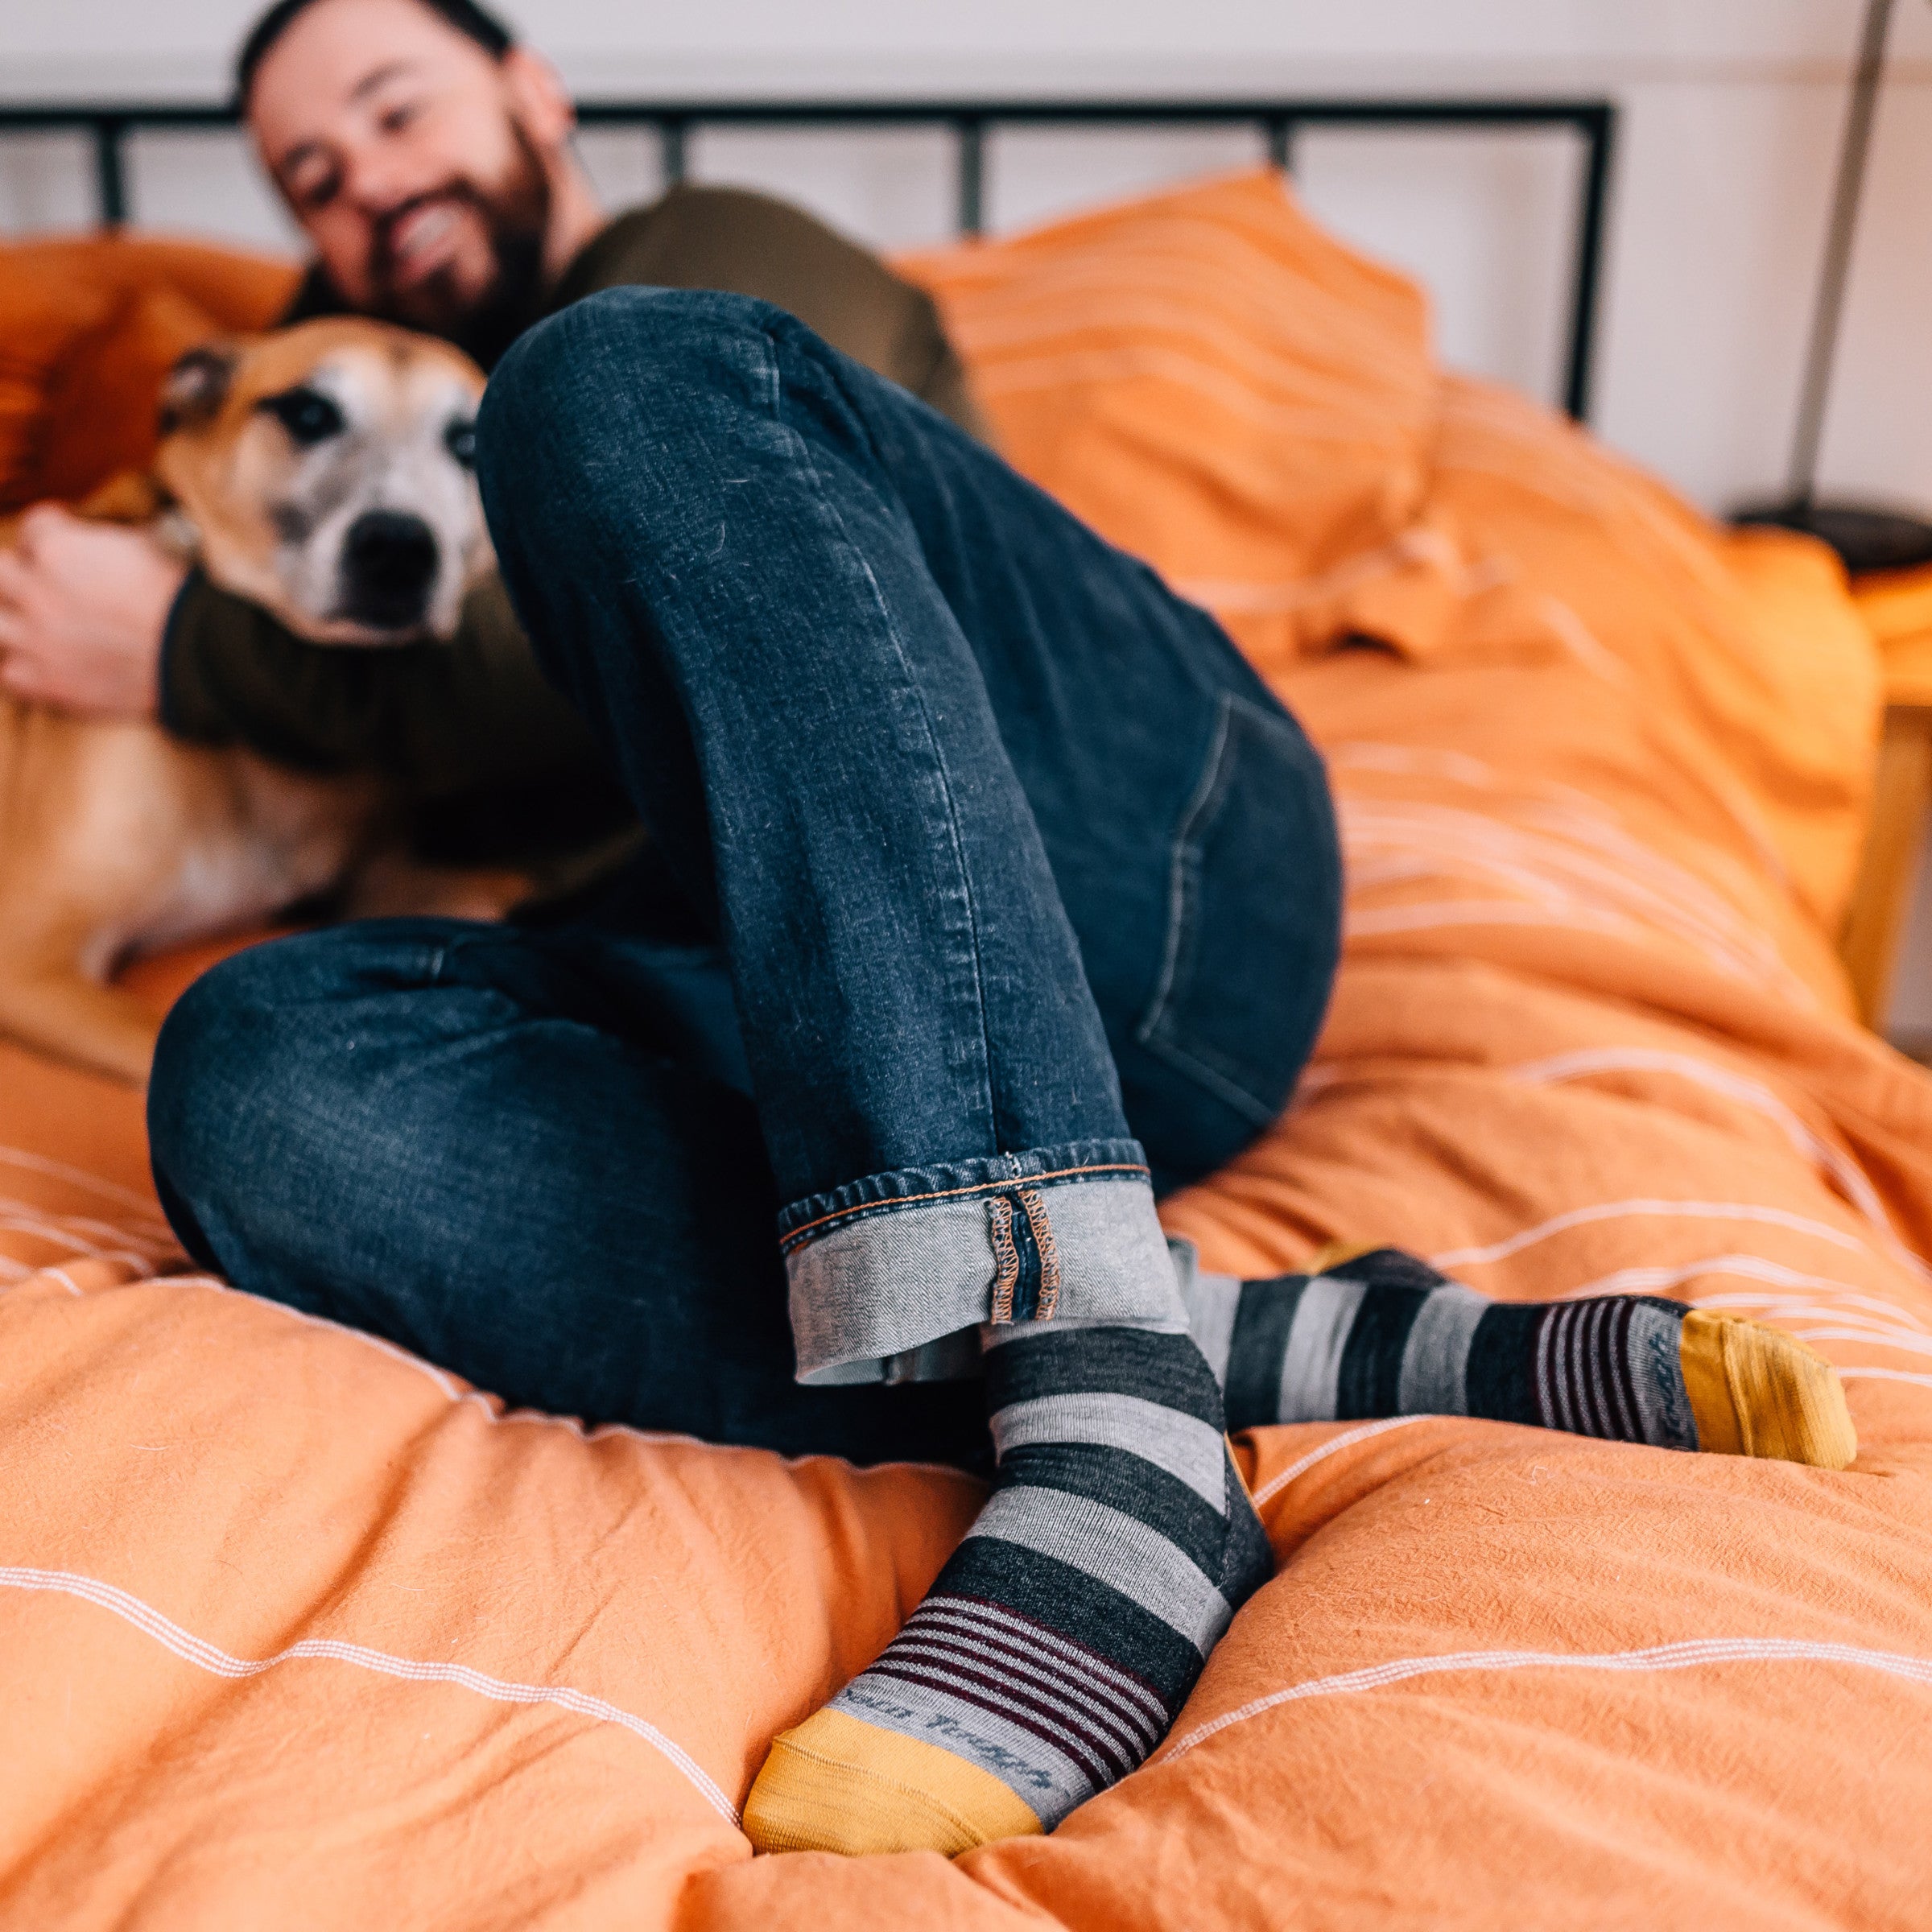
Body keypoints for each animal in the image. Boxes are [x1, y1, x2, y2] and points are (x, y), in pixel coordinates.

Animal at [0, 316, 522, 1089]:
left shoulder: (377, 885)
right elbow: (162, 1040)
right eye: (309, 414)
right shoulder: (30, 957)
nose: (399, 549)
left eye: (467, 443)